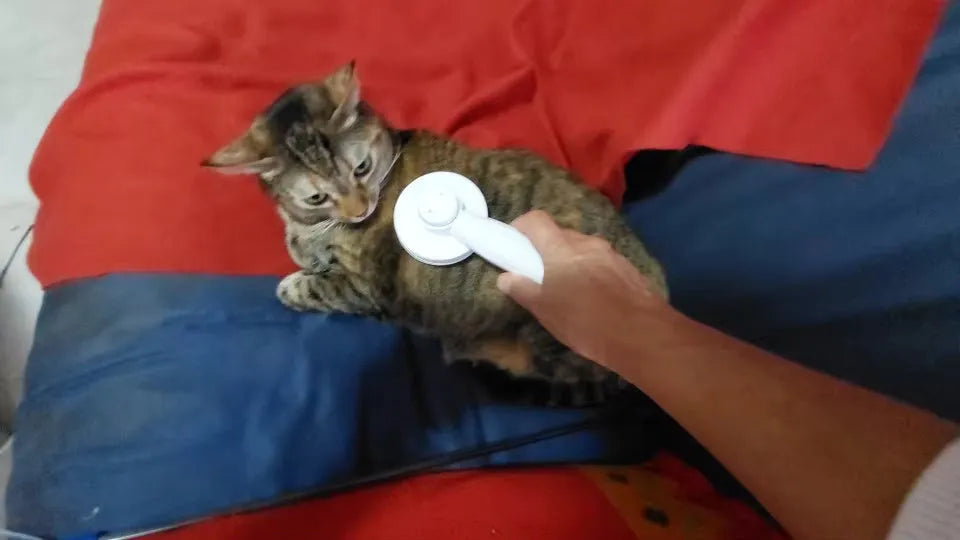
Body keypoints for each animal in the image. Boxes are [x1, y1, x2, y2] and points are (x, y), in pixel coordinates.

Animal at [204, 62, 667, 404]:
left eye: (360, 169)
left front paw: (292, 283)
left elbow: (317, 284)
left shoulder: (365, 288)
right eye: (318, 196)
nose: (360, 209)